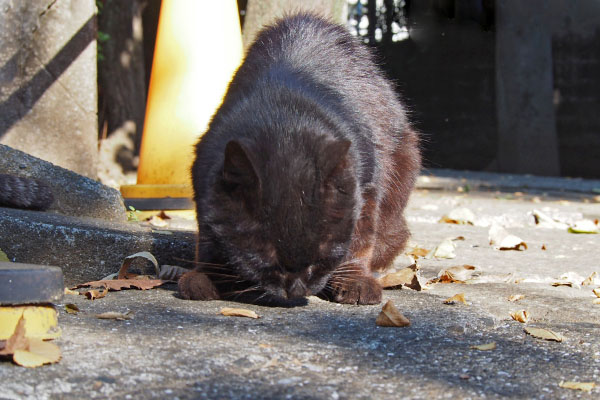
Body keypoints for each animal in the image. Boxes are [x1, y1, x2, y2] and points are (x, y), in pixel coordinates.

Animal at [179, 13, 422, 306]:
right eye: (264, 258)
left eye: (321, 257)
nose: (295, 288)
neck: (283, 121)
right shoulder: (204, 177)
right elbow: (208, 235)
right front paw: (205, 276)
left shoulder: (367, 185)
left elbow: (361, 240)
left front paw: (355, 281)